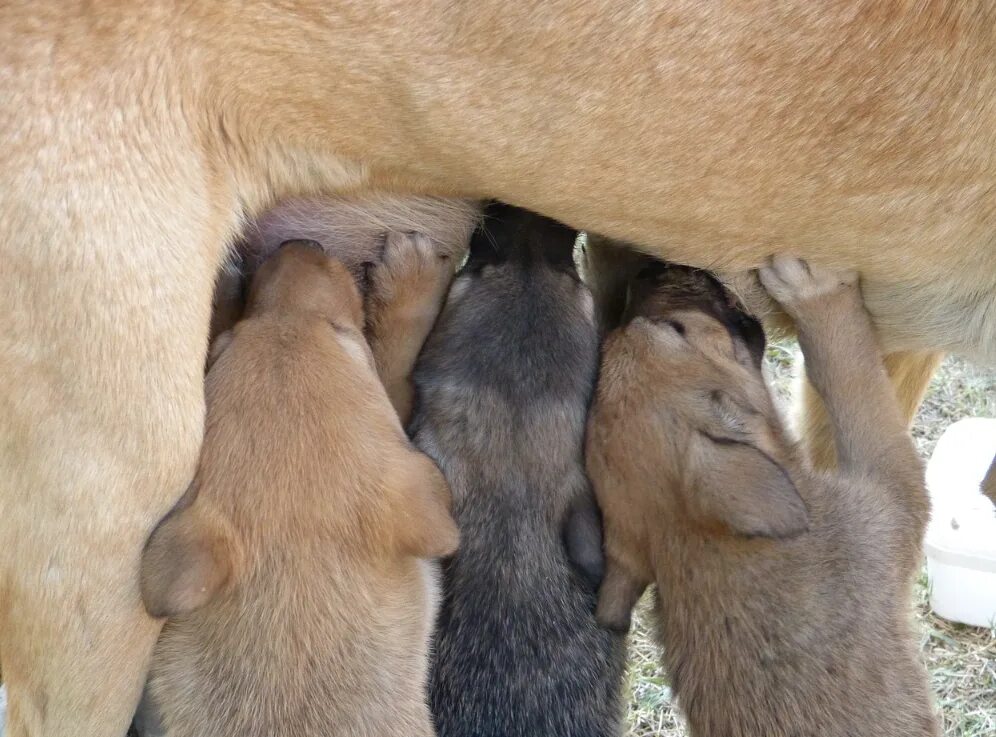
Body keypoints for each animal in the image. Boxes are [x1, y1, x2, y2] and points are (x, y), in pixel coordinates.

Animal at [588, 256, 936, 732]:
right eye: (675, 329)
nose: (647, 269)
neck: (698, 542)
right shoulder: (894, 499)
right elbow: (850, 373)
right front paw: (818, 293)